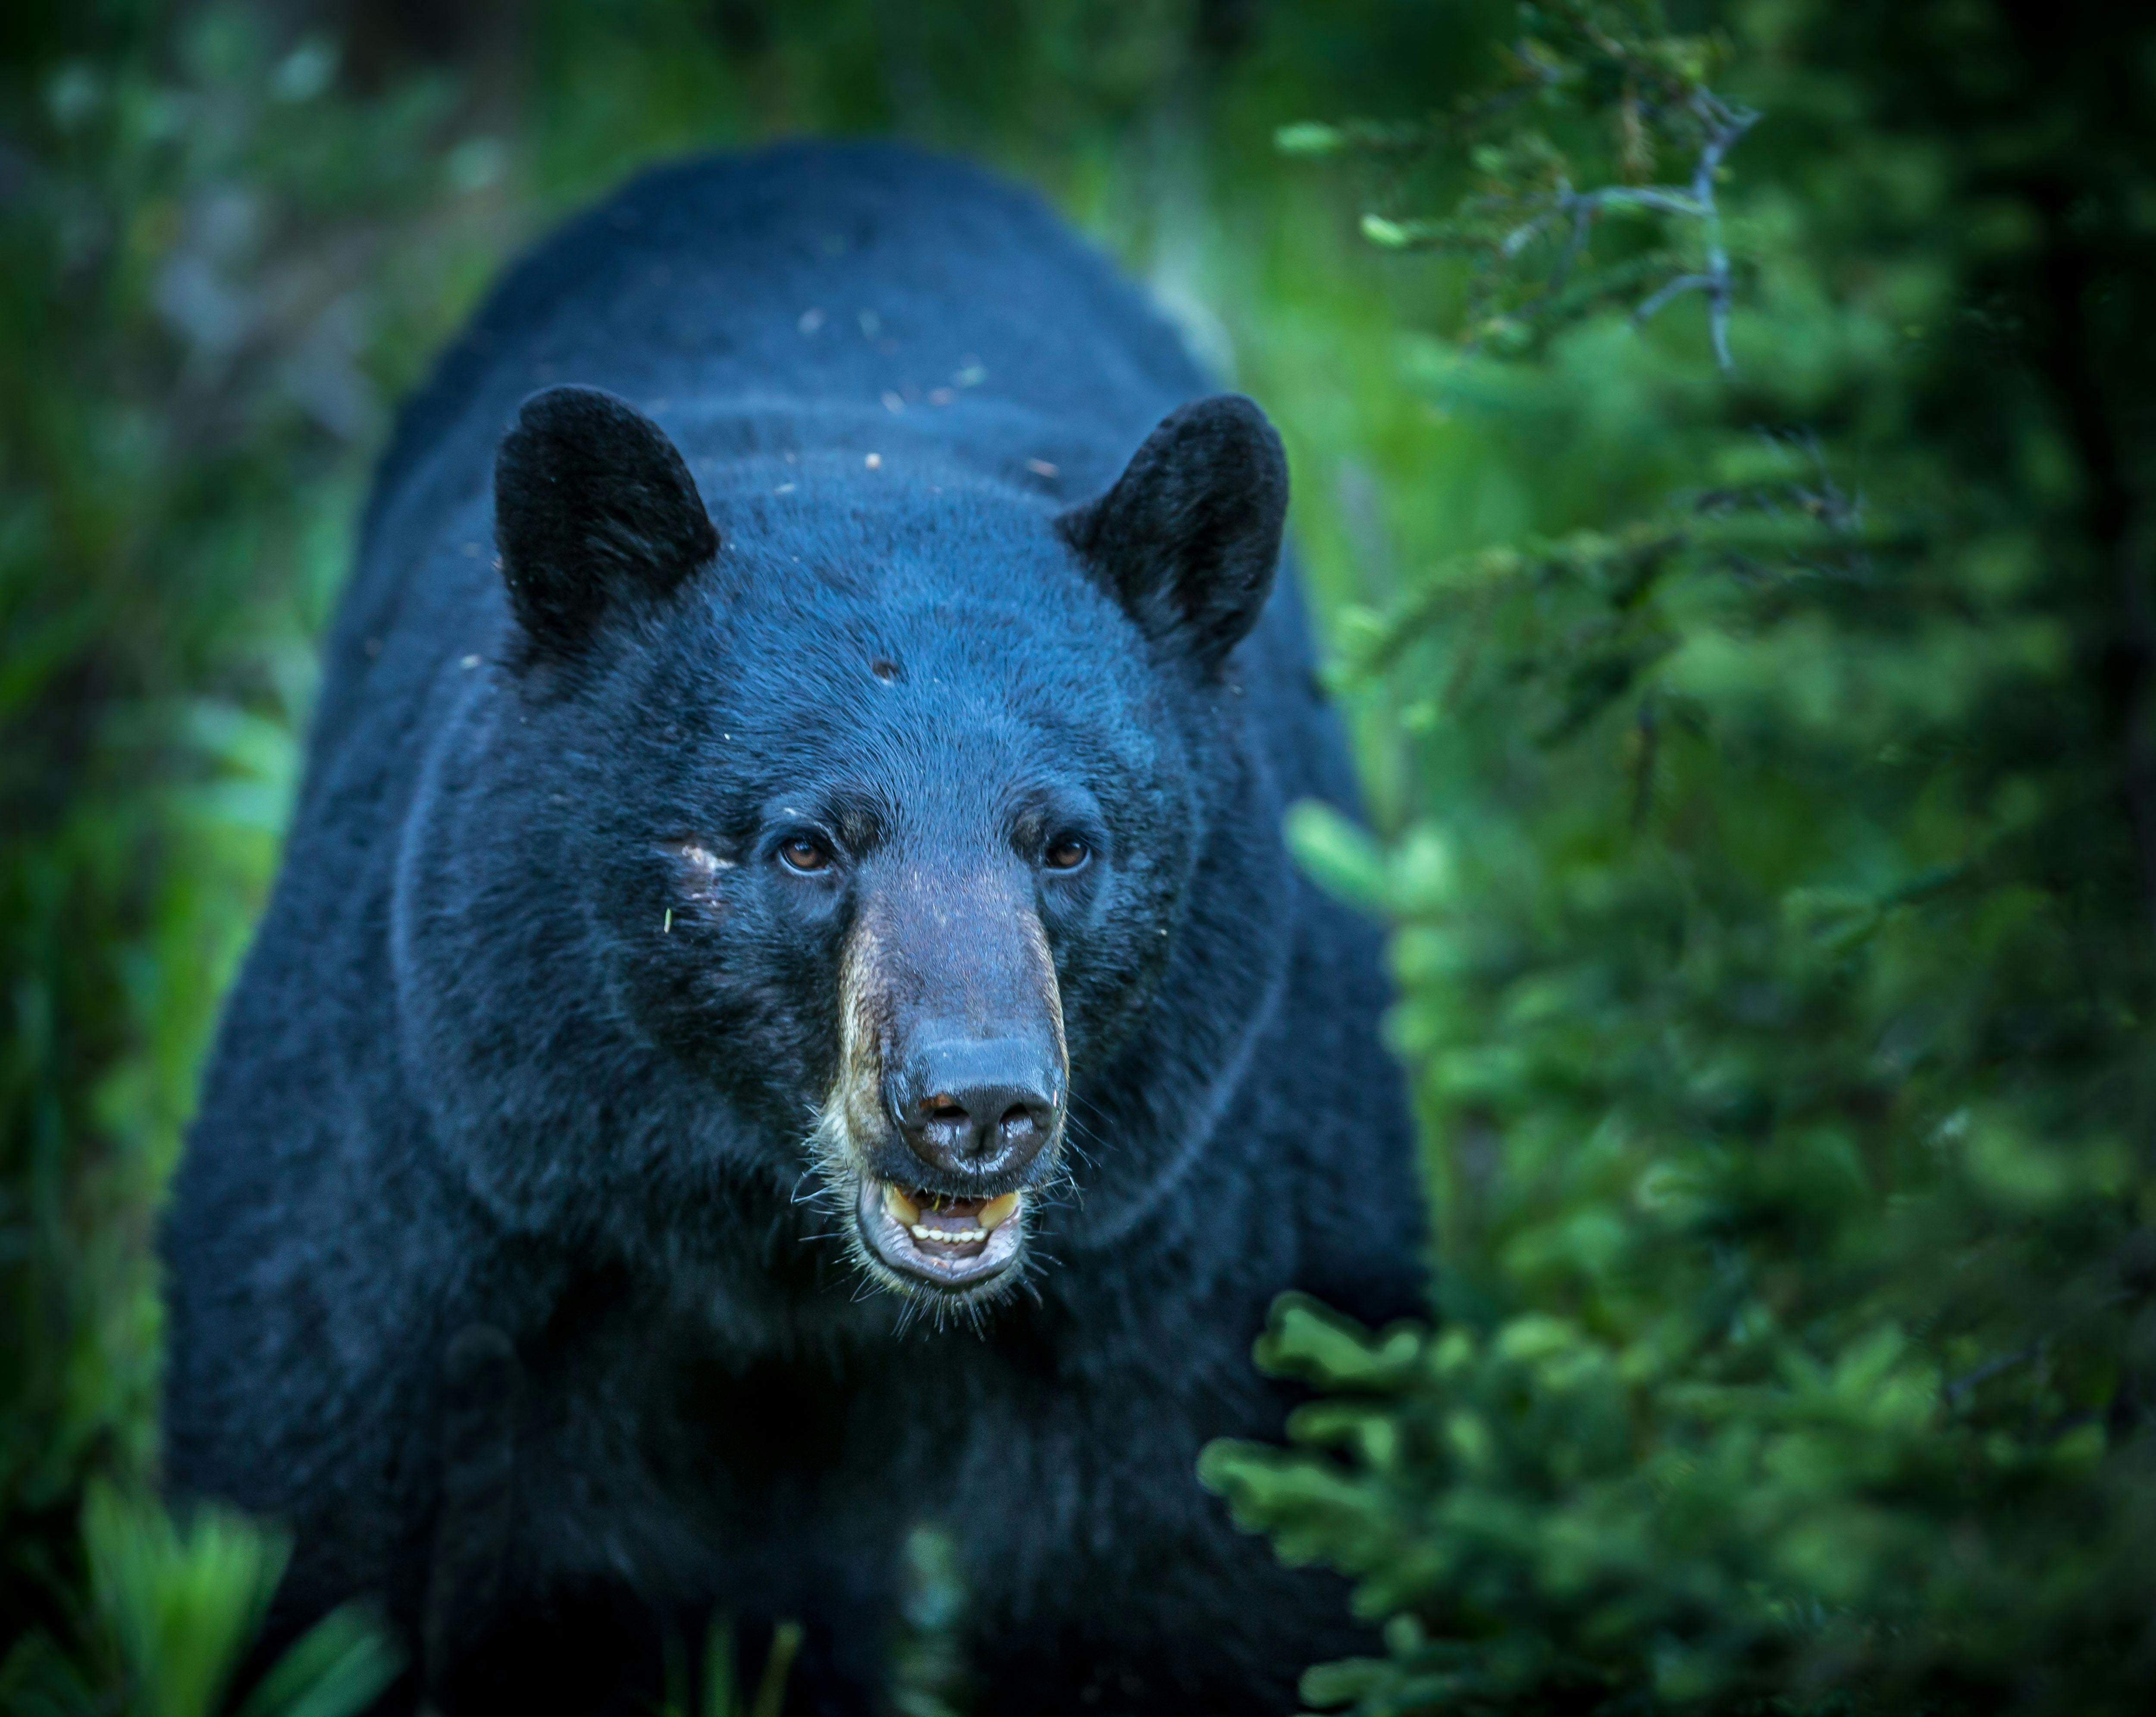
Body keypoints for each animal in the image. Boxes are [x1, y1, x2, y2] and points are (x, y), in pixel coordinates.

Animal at [160, 141, 1423, 1708]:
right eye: (808, 846)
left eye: (1067, 843)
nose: (974, 1104)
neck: (782, 1268)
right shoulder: (446, 1180)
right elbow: (309, 1512)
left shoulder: (1204, 1238)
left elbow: (1222, 1582)